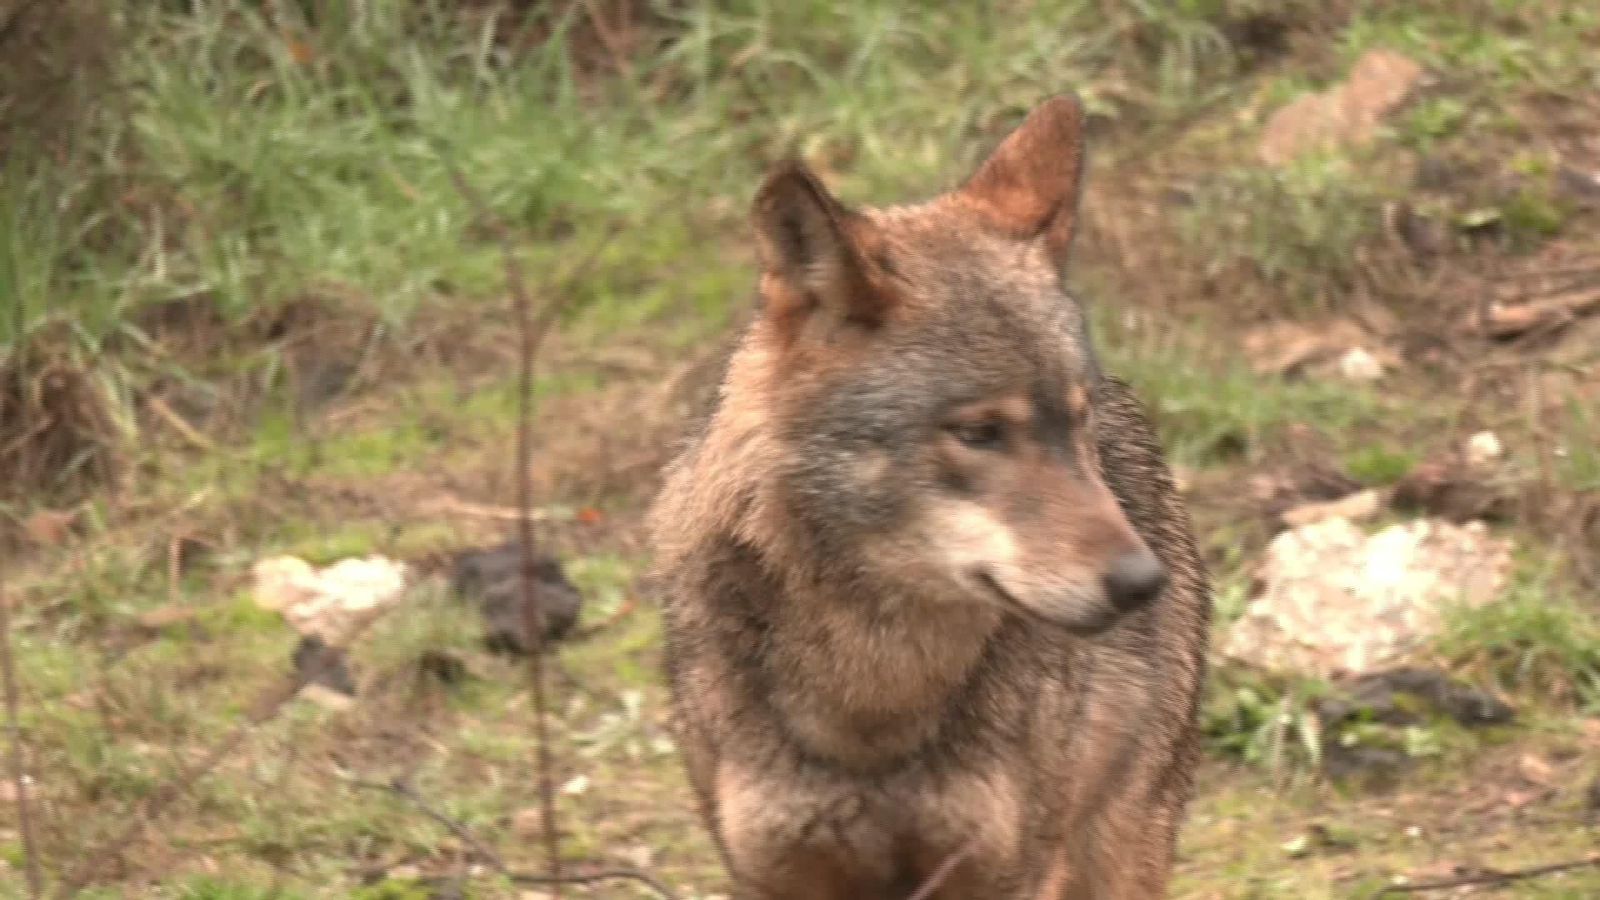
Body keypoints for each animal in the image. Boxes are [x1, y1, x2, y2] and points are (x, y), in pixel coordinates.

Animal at [646, 92, 1213, 900]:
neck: (871, 705)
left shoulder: (1005, 872)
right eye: (979, 433)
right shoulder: (771, 871)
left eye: (1079, 420)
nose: (1142, 584)